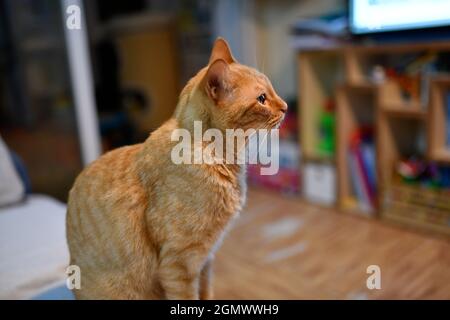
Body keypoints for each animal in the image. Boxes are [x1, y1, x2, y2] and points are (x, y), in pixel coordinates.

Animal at [65, 38, 286, 300]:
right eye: (262, 99)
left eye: (272, 91)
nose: (285, 107)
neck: (216, 155)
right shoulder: (179, 264)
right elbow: (188, 298)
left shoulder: (206, 260)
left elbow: (206, 294)